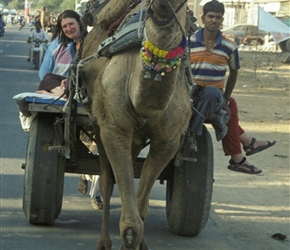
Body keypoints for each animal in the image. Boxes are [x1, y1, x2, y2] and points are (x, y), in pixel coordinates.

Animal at [80, 0, 191, 249]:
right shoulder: (113, 129)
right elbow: (130, 225)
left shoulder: (168, 142)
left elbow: (140, 211)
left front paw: (142, 243)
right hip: (98, 121)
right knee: (106, 181)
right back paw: (103, 242)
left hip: (138, 139)